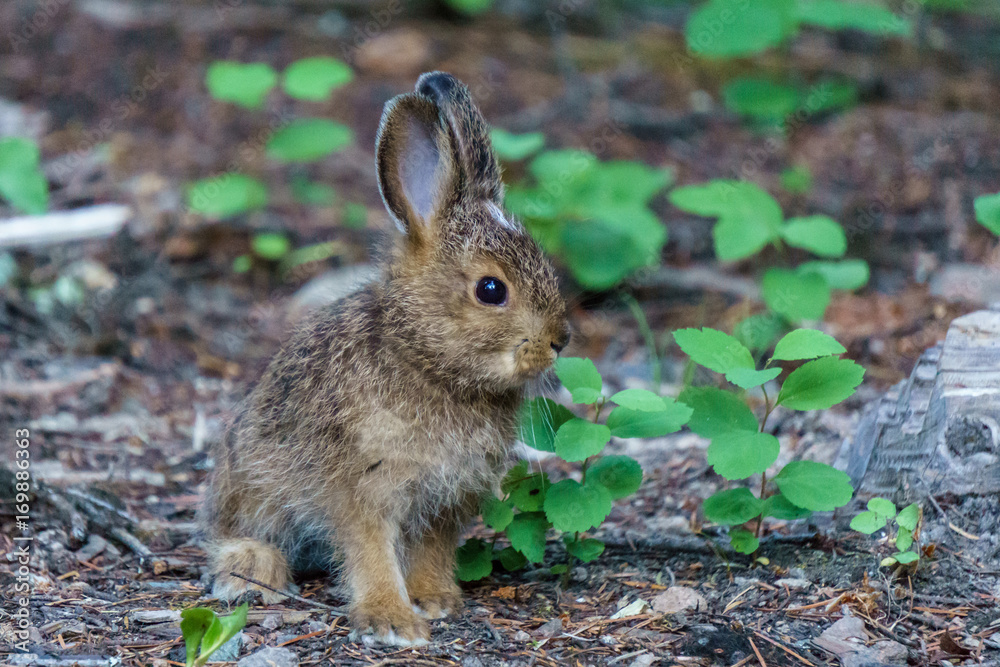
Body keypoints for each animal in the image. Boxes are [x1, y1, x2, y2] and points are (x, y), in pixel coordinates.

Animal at [200, 71, 570, 646]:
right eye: (491, 289)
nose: (561, 339)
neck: (425, 359)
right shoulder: (363, 486)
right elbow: (370, 551)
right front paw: (392, 620)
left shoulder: (448, 498)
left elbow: (432, 549)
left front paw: (435, 600)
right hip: (253, 491)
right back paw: (253, 570)